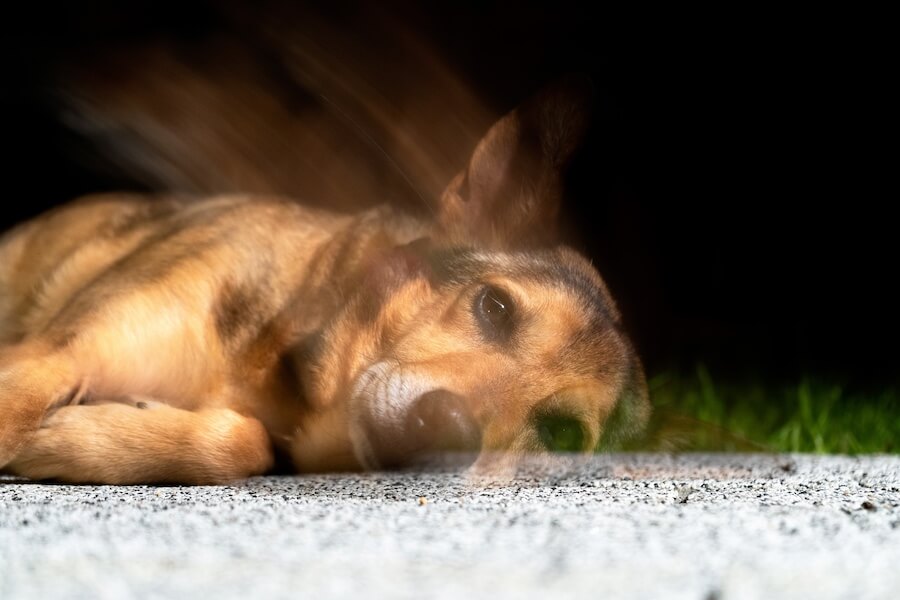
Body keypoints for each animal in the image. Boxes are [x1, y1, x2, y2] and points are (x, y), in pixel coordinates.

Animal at [0, 81, 648, 482]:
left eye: (561, 433)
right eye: (495, 306)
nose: (448, 429)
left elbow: (246, 445)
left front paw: (78, 436)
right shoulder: (50, 355)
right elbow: (14, 413)